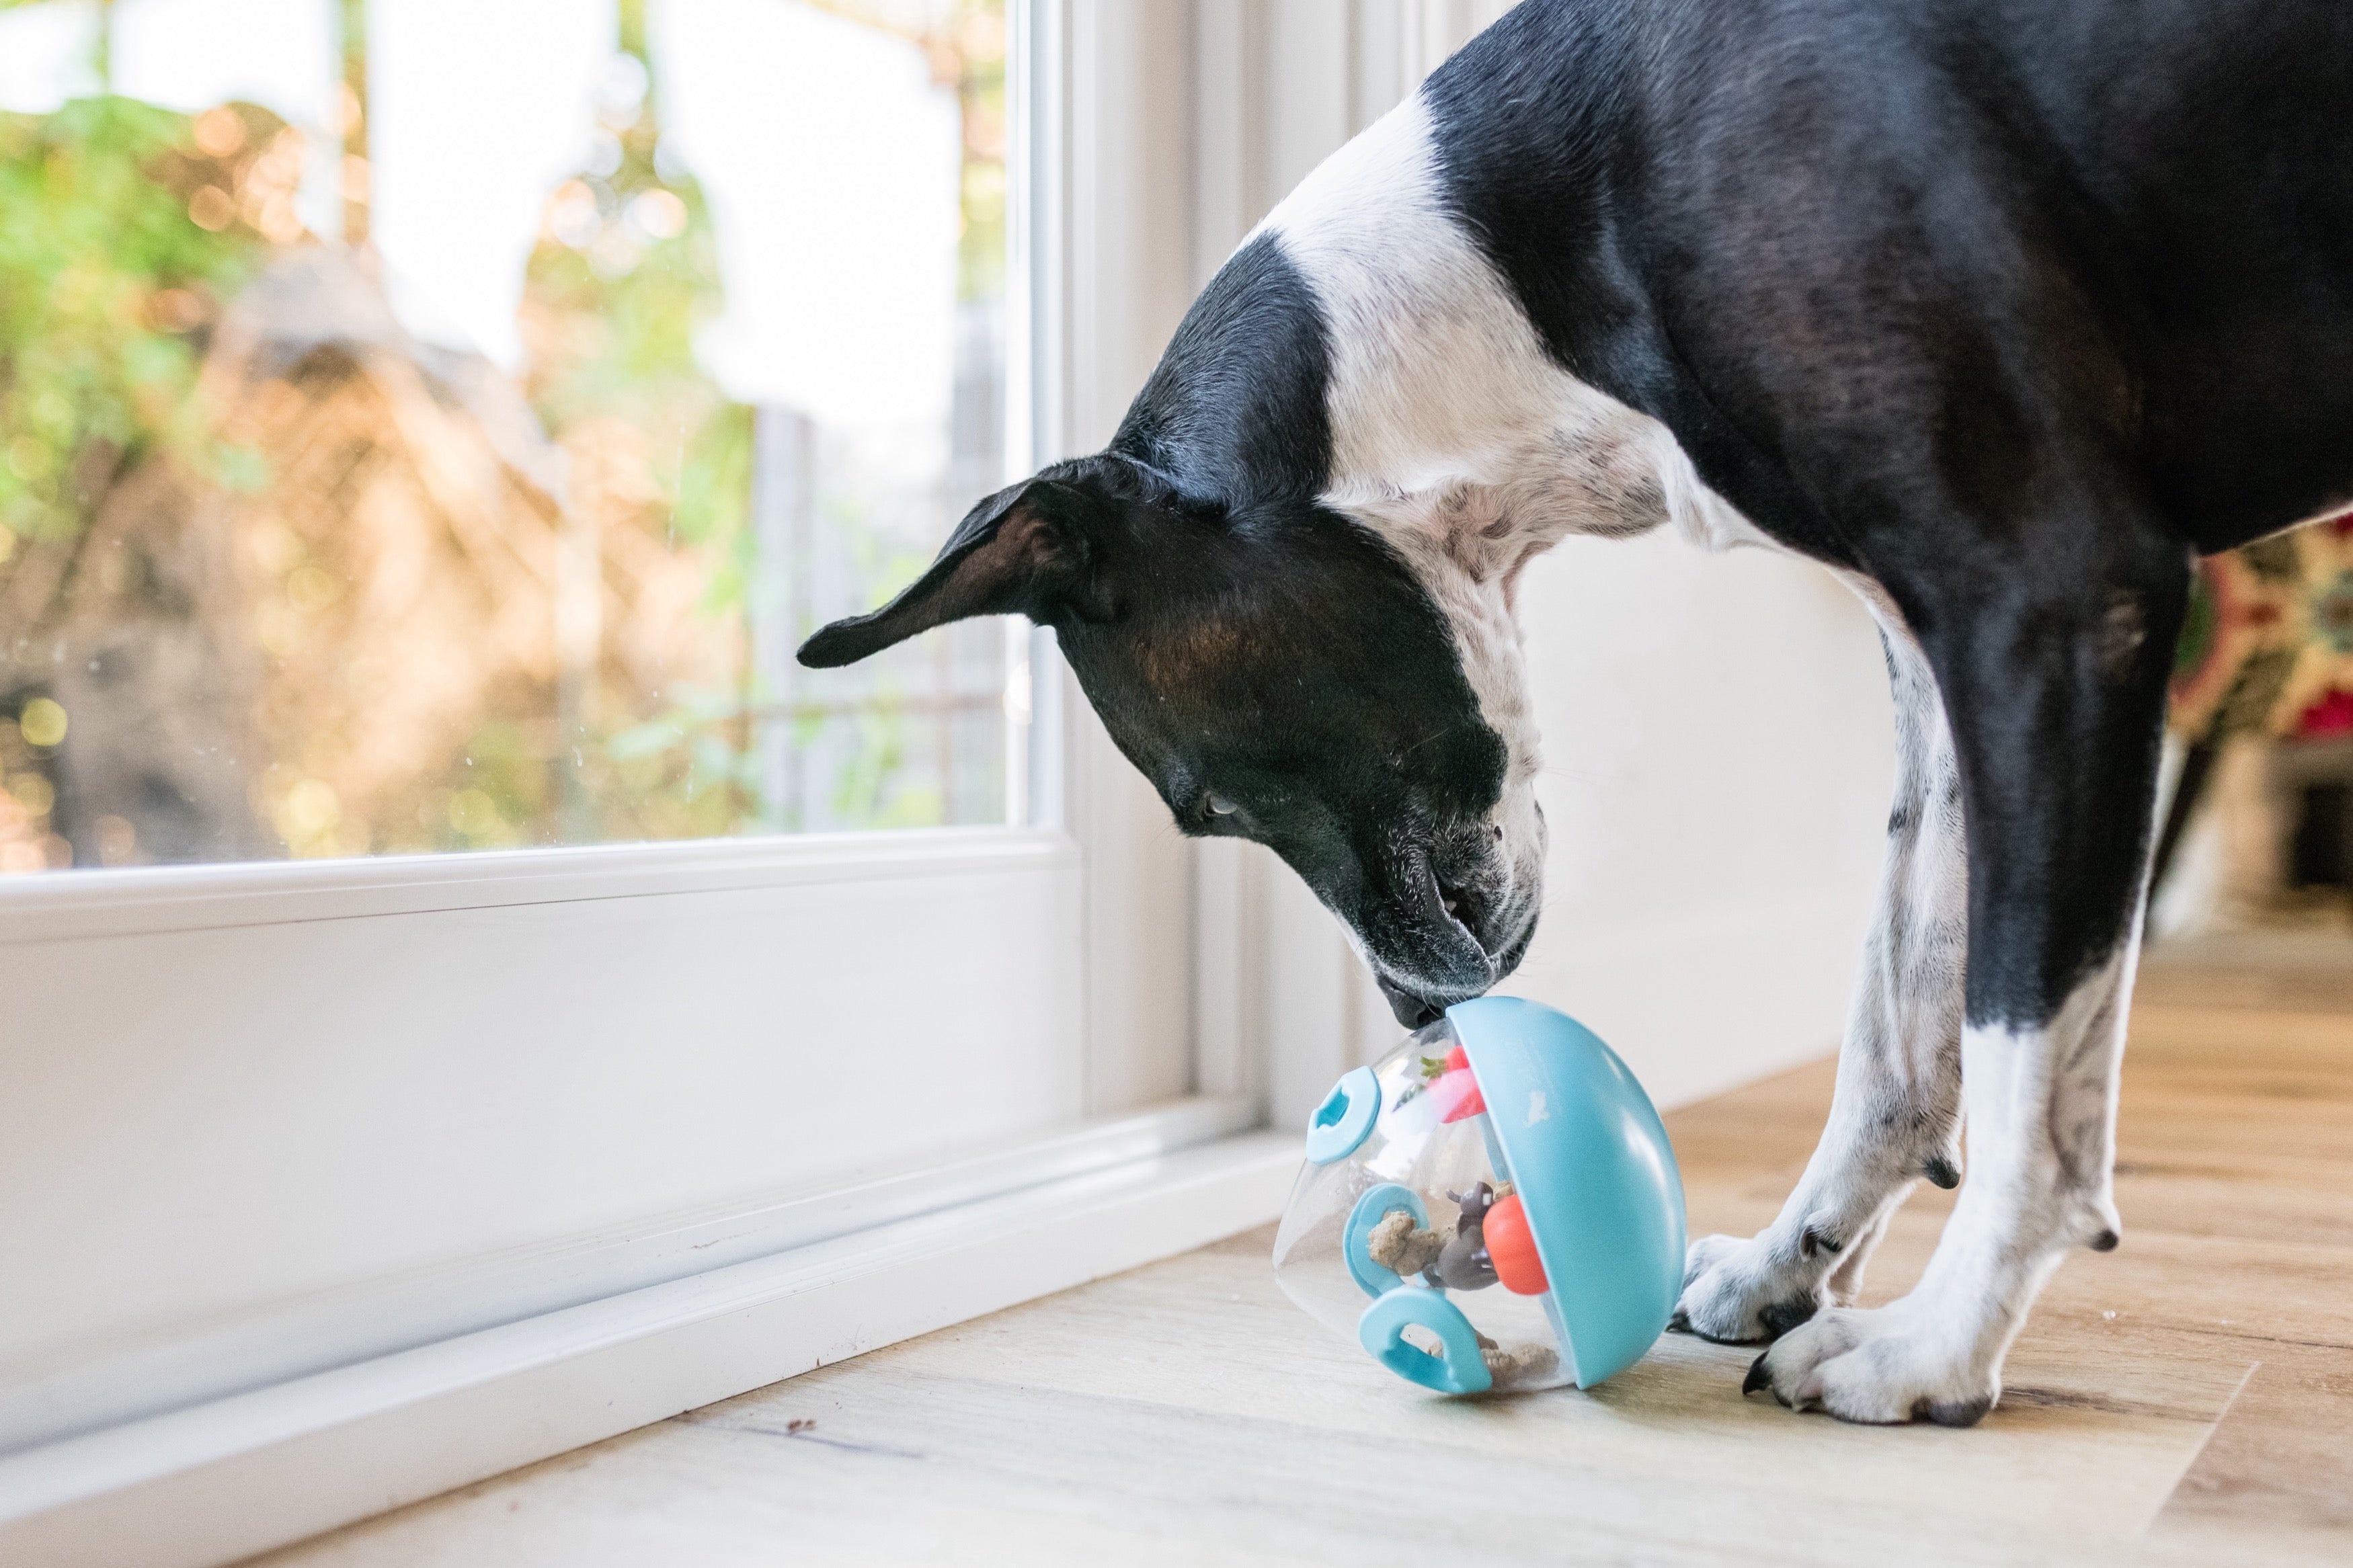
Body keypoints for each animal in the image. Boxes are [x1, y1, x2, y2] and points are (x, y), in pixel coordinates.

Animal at [805, 0, 2353, 1419]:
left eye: (1208, 805)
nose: (1420, 1014)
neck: (1524, 266)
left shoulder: (2050, 601)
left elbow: (2023, 1048)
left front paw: (1937, 1344)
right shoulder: (1944, 663)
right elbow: (1897, 1022)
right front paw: (1795, 1263)